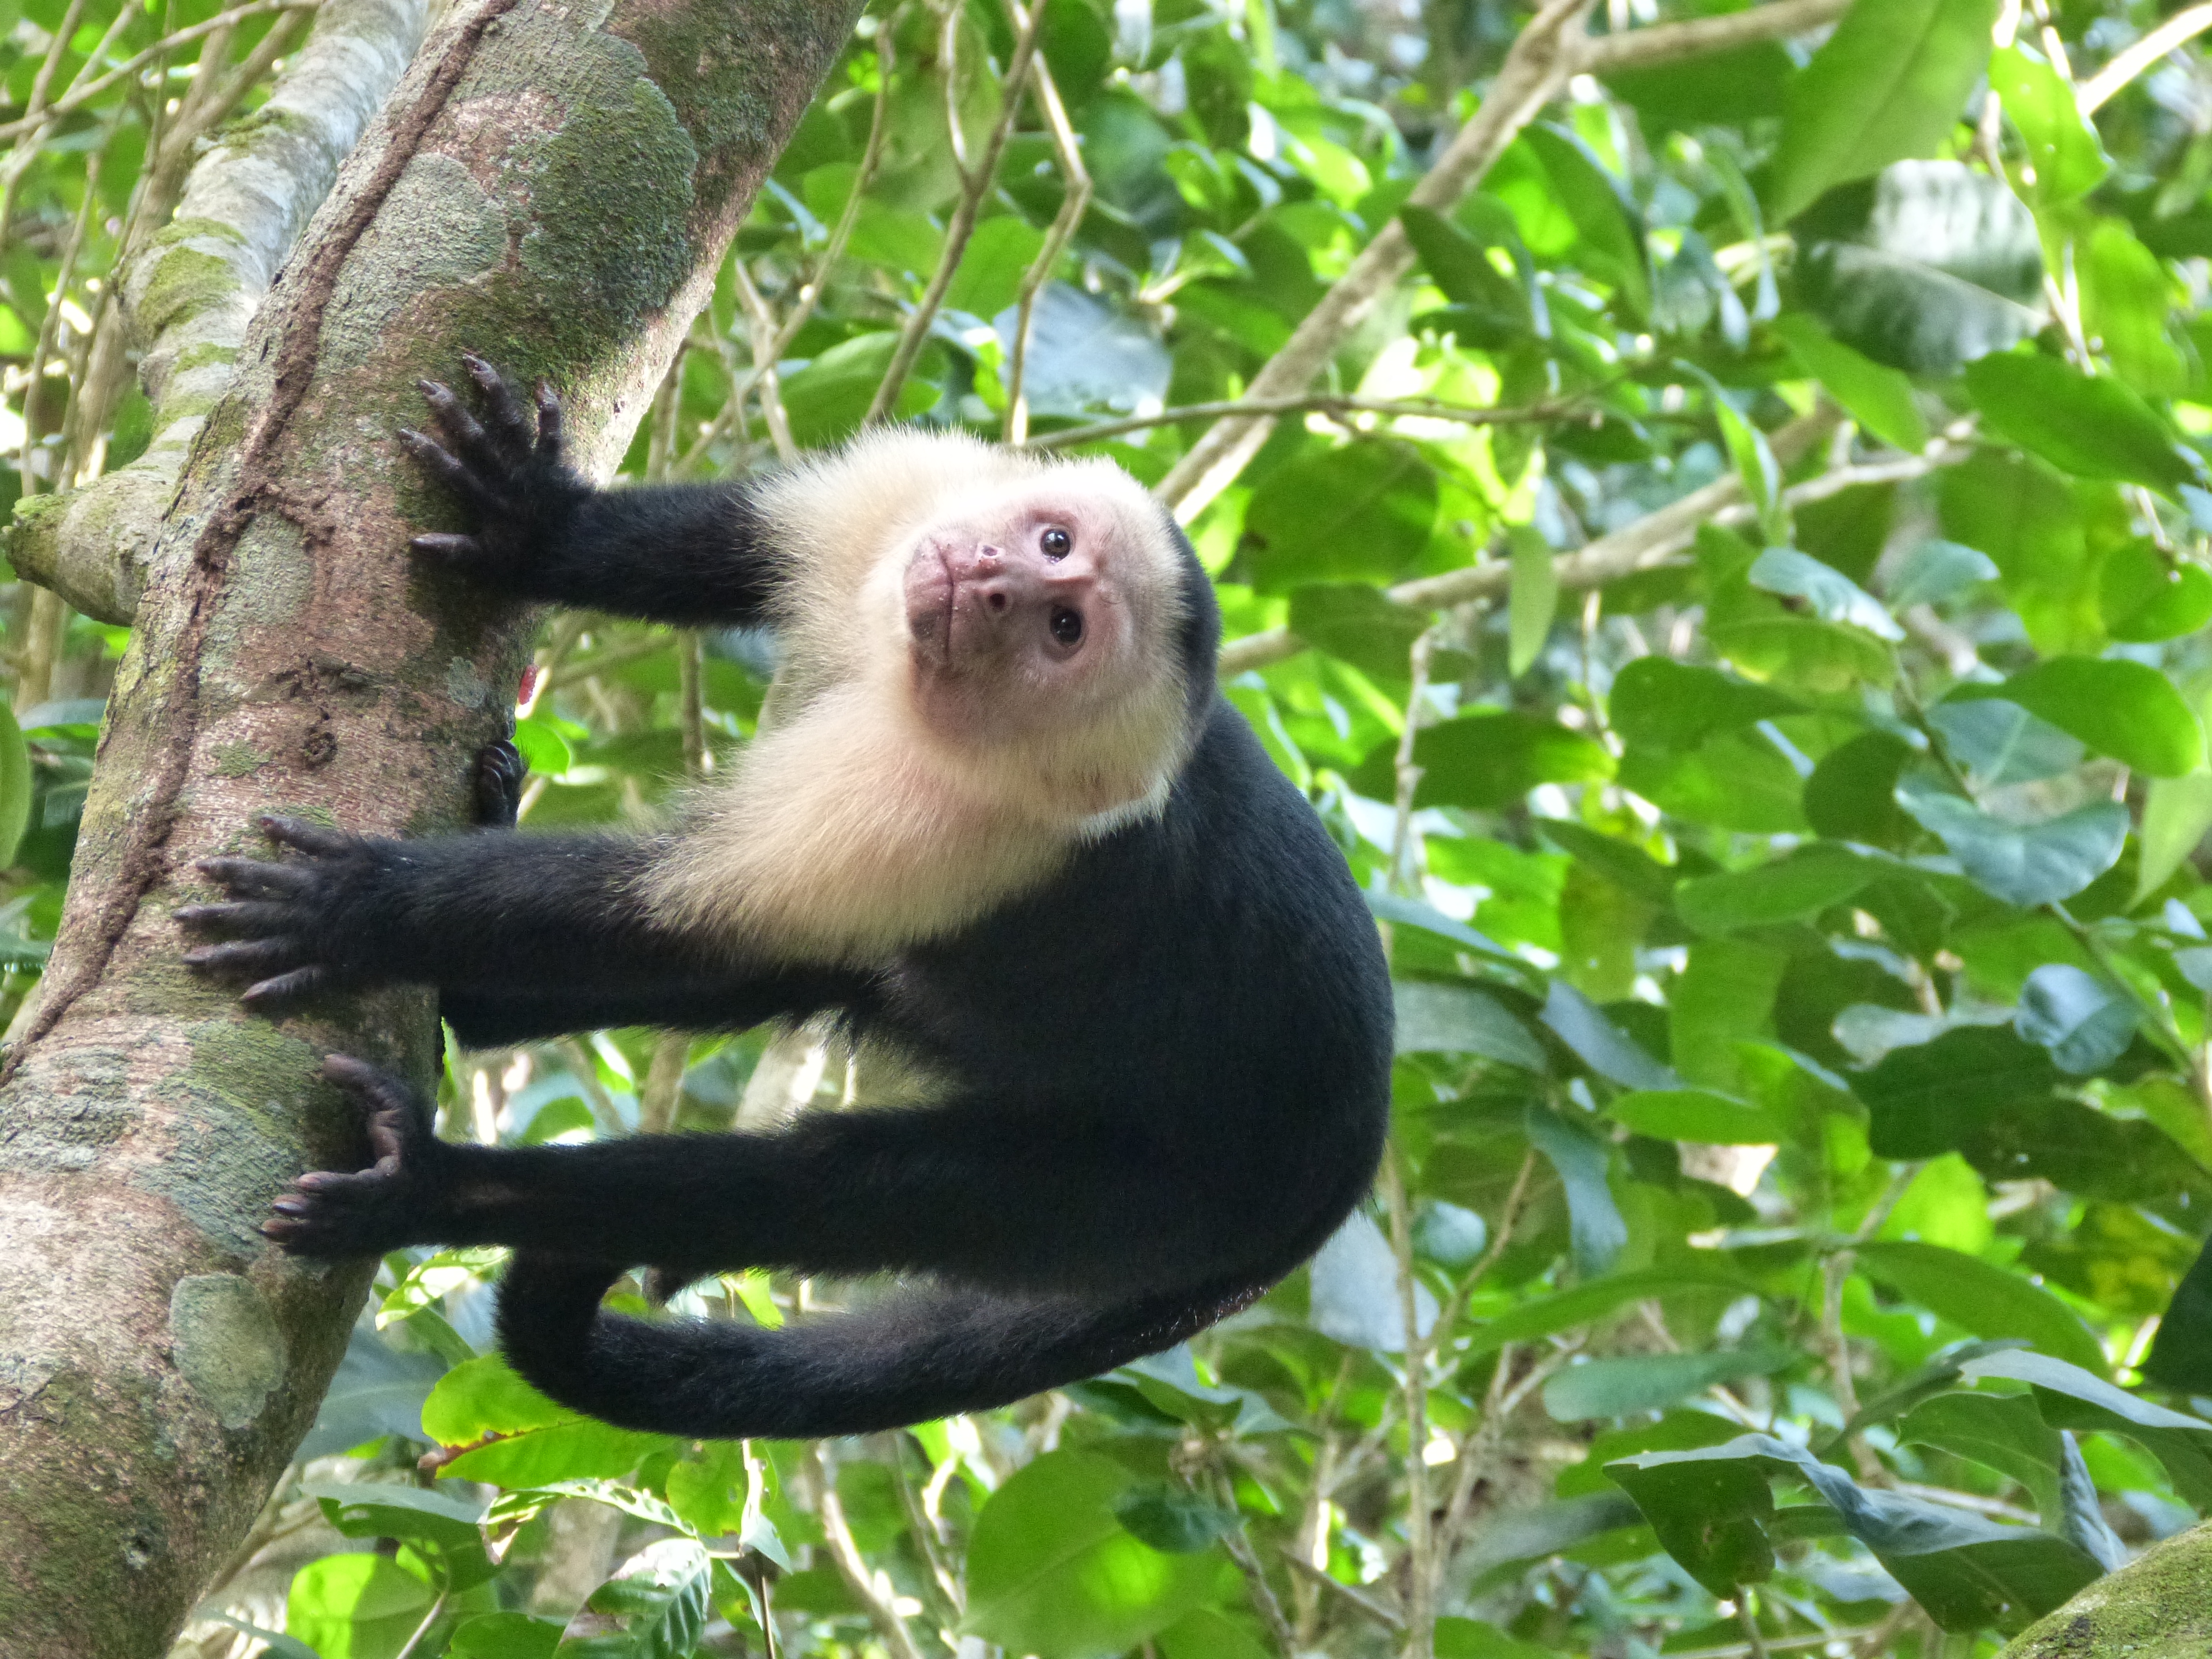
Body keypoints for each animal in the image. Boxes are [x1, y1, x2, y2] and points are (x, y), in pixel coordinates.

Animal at [180, 357, 1394, 1441]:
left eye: (1065, 633)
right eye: (1054, 544)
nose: (993, 578)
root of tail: (1345, 1168)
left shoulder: (960, 823)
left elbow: (655, 915)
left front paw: (360, 907)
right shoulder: (913, 502)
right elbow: (733, 548)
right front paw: (542, 524)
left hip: (1167, 1189)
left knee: (821, 1186)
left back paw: (439, 1185)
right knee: (800, 980)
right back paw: (481, 1006)